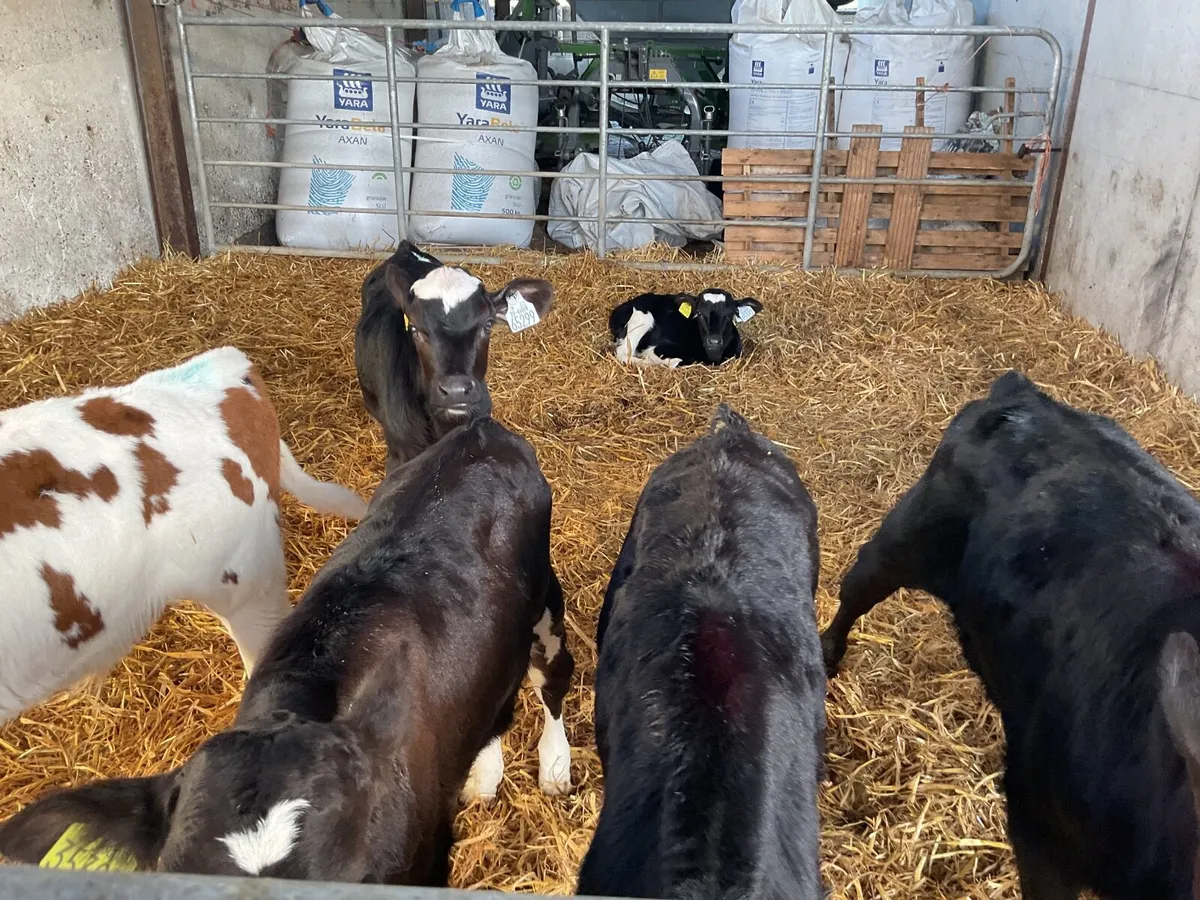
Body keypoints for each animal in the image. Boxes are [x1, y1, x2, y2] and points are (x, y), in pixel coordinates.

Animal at [609, 289, 762, 368]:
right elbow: (672, 361)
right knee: (623, 353)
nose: (713, 341)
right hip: (641, 319)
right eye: (699, 313)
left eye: (730, 314)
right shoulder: (657, 349)